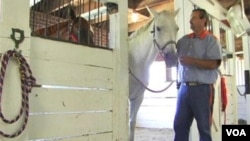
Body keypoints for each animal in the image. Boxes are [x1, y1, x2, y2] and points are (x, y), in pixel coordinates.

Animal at [128, 7, 179, 141]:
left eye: (177, 28)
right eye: (158, 28)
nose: (172, 59)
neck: (134, 61)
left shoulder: (137, 97)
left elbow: (132, 123)